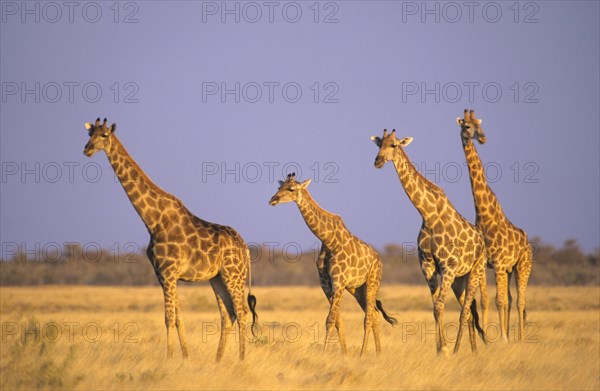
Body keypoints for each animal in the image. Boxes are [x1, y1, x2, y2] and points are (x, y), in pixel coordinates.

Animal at [82, 118, 258, 362]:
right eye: (89, 134)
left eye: (105, 135)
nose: (87, 150)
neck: (152, 220)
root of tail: (245, 248)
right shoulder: (162, 275)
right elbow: (178, 318)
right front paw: (185, 357)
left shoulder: (169, 272)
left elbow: (168, 318)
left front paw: (169, 358)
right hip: (217, 278)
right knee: (228, 314)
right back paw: (217, 360)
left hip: (234, 274)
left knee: (241, 312)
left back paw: (241, 360)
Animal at [270, 175, 396, 358]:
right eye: (279, 187)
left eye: (291, 189)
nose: (273, 199)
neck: (328, 240)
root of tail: (380, 259)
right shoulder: (326, 284)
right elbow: (337, 320)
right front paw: (344, 354)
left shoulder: (338, 281)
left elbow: (330, 320)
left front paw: (324, 354)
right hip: (357, 289)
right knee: (374, 314)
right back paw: (378, 353)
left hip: (372, 282)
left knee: (368, 317)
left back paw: (362, 353)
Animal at [372, 129, 490, 356]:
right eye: (379, 144)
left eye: (393, 145)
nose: (378, 161)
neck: (428, 215)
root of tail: (482, 242)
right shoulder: (427, 266)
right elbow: (435, 307)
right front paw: (439, 348)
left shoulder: (448, 267)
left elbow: (440, 305)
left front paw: (445, 349)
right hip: (460, 280)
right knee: (469, 310)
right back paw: (473, 351)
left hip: (475, 271)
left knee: (467, 310)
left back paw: (461, 349)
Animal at [458, 108, 532, 342]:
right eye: (467, 126)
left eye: (480, 125)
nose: (483, 138)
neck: (484, 214)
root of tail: (528, 242)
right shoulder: (486, 264)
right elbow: (486, 301)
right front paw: (492, 338)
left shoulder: (498, 263)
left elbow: (500, 301)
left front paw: (505, 339)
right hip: (508, 269)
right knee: (510, 298)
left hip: (522, 265)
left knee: (520, 300)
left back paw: (520, 339)